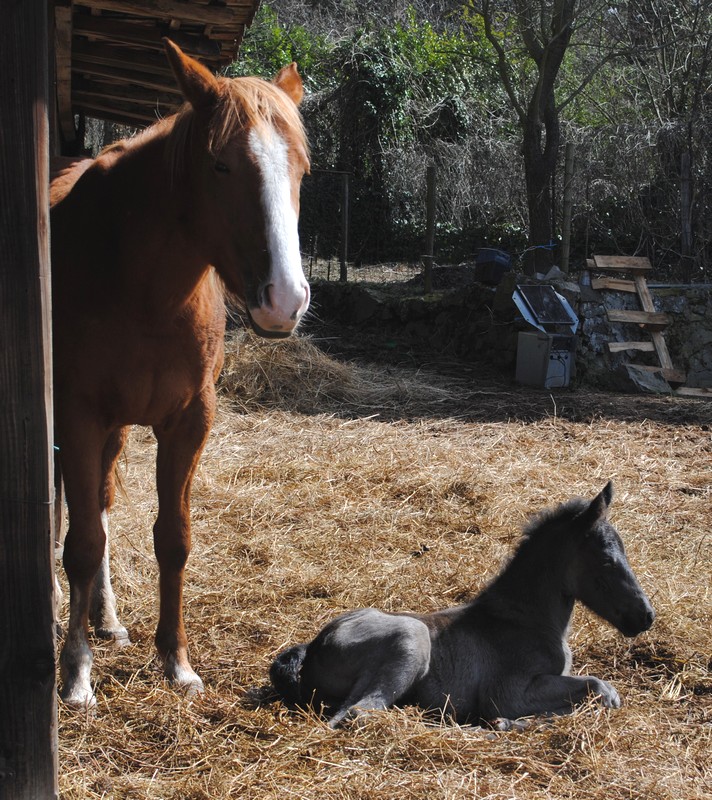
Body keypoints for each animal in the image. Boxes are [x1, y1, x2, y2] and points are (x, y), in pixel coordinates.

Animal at [48, 40, 308, 708]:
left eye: (301, 169)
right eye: (220, 166)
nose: (285, 300)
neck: (144, 287)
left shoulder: (190, 421)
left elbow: (173, 538)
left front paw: (176, 661)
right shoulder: (78, 416)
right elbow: (80, 544)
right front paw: (76, 672)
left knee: (101, 503)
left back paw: (108, 618)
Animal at [272, 484, 656, 728]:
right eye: (606, 561)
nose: (645, 616)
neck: (526, 620)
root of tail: (314, 647)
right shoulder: (509, 691)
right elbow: (602, 690)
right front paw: (504, 721)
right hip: (411, 639)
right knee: (358, 714)